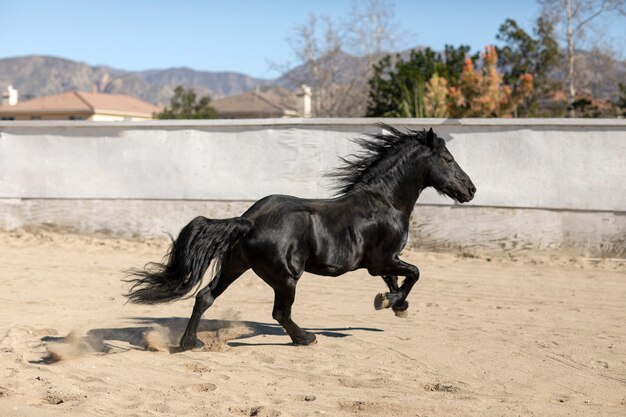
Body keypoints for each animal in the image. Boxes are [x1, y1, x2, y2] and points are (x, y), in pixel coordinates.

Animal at [125, 125, 472, 350]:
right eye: (448, 159)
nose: (471, 189)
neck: (383, 202)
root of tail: (250, 220)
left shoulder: (382, 263)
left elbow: (396, 280)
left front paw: (396, 304)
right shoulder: (383, 259)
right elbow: (413, 273)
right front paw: (388, 302)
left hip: (236, 266)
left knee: (205, 296)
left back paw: (191, 342)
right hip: (285, 277)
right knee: (280, 312)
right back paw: (305, 338)